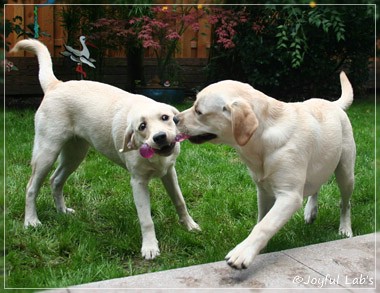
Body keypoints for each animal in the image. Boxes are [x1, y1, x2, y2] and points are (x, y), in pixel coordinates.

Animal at [10, 38, 200, 258]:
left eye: (165, 117)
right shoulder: (138, 182)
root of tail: (56, 85)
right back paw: (31, 221)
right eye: (142, 127)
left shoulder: (169, 172)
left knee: (55, 180)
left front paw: (189, 225)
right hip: (46, 152)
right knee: (31, 187)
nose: (159, 137)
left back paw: (62, 211)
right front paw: (150, 247)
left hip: (75, 154)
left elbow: (180, 201)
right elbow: (146, 220)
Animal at [175, 72, 356, 268]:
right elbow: (262, 219)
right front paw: (258, 248)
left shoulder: (289, 196)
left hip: (346, 173)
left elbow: (265, 225)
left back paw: (345, 228)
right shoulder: (263, 190)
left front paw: (242, 252)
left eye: (199, 111)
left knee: (345, 203)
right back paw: (311, 211)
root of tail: (333, 104)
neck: (262, 137)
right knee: (316, 187)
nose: (175, 118)